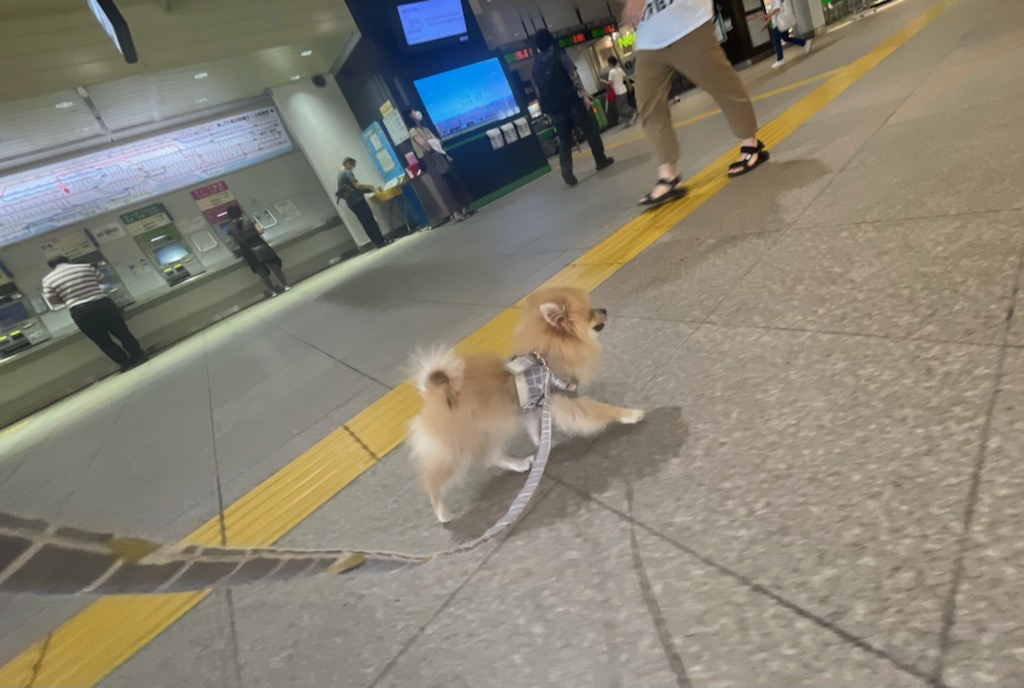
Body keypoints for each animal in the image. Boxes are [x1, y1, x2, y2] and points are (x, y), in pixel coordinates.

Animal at [408, 287, 644, 523]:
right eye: (590, 313)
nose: (604, 309)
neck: (548, 357)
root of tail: (432, 395)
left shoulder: (536, 408)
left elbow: (536, 430)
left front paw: (544, 444)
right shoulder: (567, 400)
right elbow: (601, 409)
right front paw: (630, 414)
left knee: (492, 456)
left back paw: (518, 465)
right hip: (460, 447)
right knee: (435, 480)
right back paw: (442, 512)